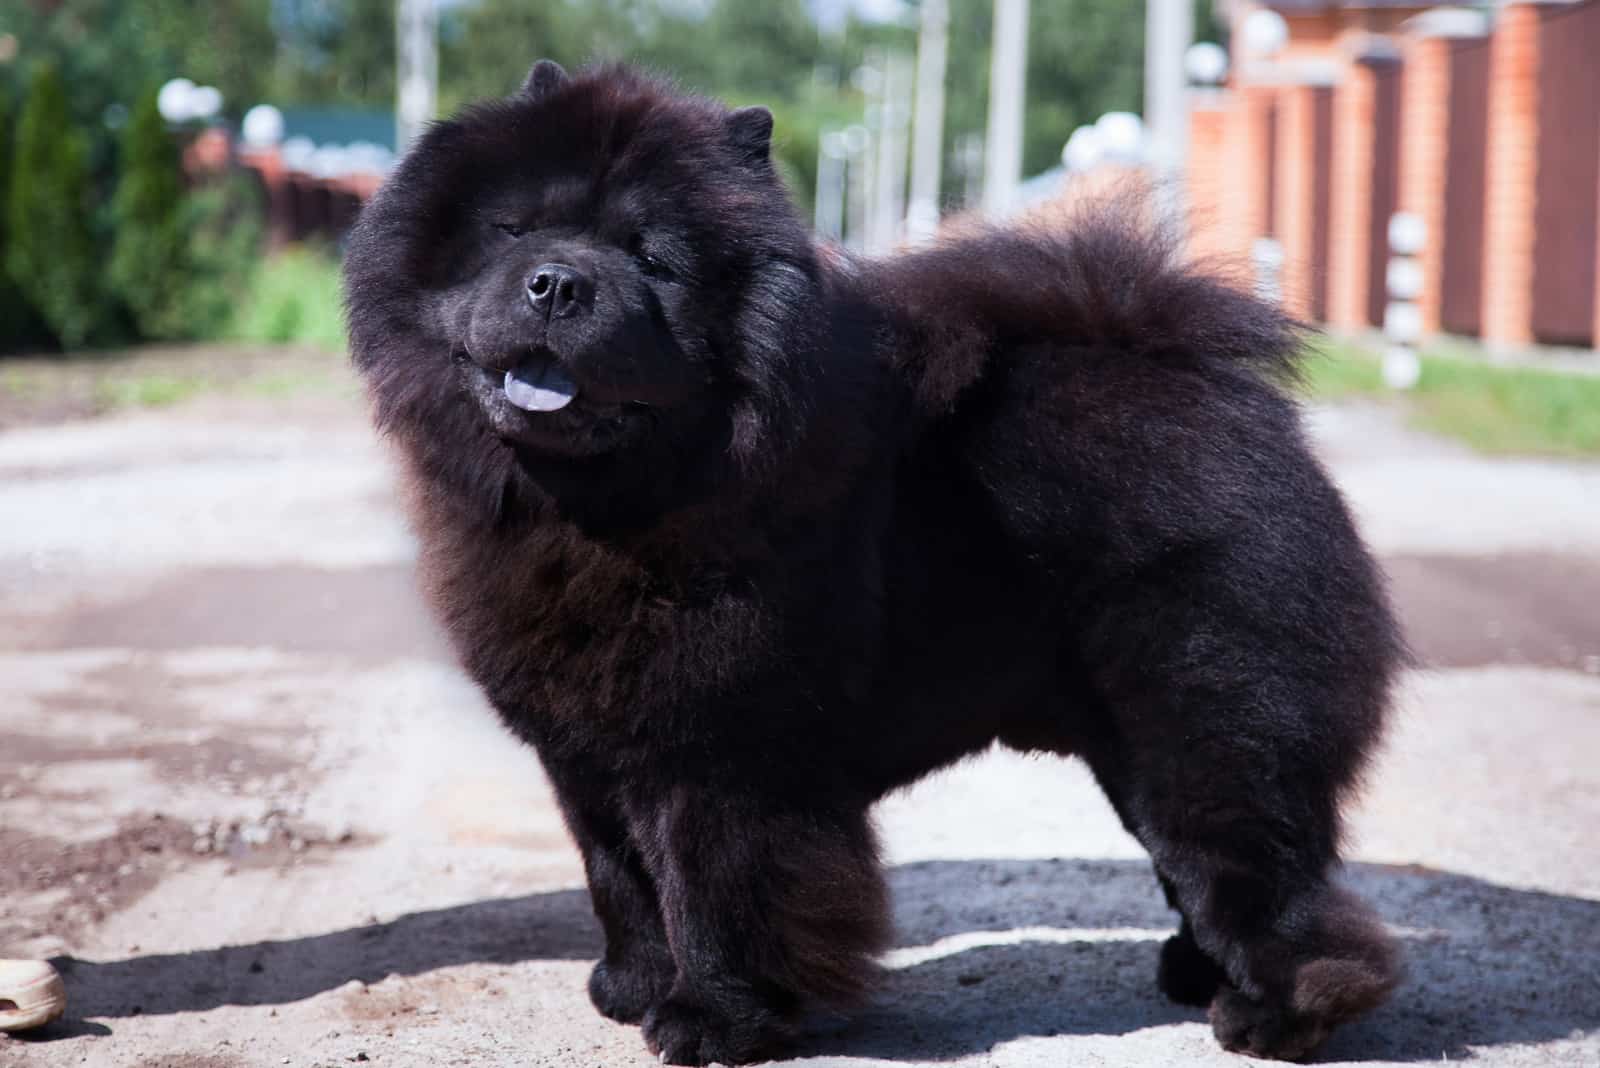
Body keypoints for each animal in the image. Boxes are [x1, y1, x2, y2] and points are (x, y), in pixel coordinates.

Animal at [347, 60, 1401, 1068]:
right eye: (514, 230)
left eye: (654, 261)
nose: (559, 282)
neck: (597, 509)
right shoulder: (587, 753)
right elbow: (621, 880)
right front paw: (628, 988)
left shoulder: (725, 755)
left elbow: (714, 892)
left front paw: (711, 1025)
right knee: (1204, 876)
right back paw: (1195, 972)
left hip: (1203, 723)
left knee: (1260, 877)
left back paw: (1272, 1017)